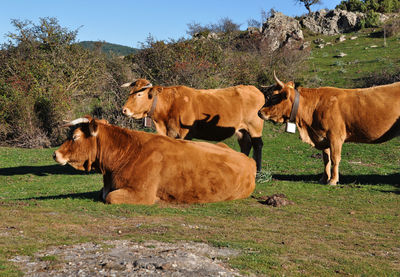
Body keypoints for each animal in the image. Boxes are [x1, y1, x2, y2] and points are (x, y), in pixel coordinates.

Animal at [52, 115, 256, 204]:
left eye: (75, 137)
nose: (55, 154)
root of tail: (249, 161)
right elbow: (102, 193)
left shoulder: (142, 193)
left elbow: (109, 197)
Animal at [122, 77, 266, 171]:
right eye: (130, 93)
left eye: (139, 94)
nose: (124, 110)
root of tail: (253, 89)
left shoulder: (185, 134)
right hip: (242, 130)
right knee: (246, 144)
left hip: (255, 127)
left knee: (258, 145)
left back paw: (258, 171)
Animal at [258, 73, 398, 185]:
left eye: (274, 97)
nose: (259, 112)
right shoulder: (323, 137)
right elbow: (326, 159)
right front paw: (324, 178)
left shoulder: (335, 136)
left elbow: (335, 158)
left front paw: (333, 180)